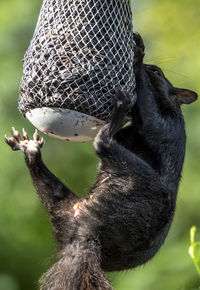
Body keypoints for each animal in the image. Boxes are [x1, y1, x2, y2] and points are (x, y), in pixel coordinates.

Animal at [5, 32, 198, 288]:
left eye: (157, 72)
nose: (149, 66)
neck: (171, 106)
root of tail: (86, 236)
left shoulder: (163, 123)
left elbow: (147, 112)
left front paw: (137, 54)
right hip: (64, 211)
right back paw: (31, 150)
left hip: (140, 185)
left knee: (102, 144)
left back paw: (119, 110)